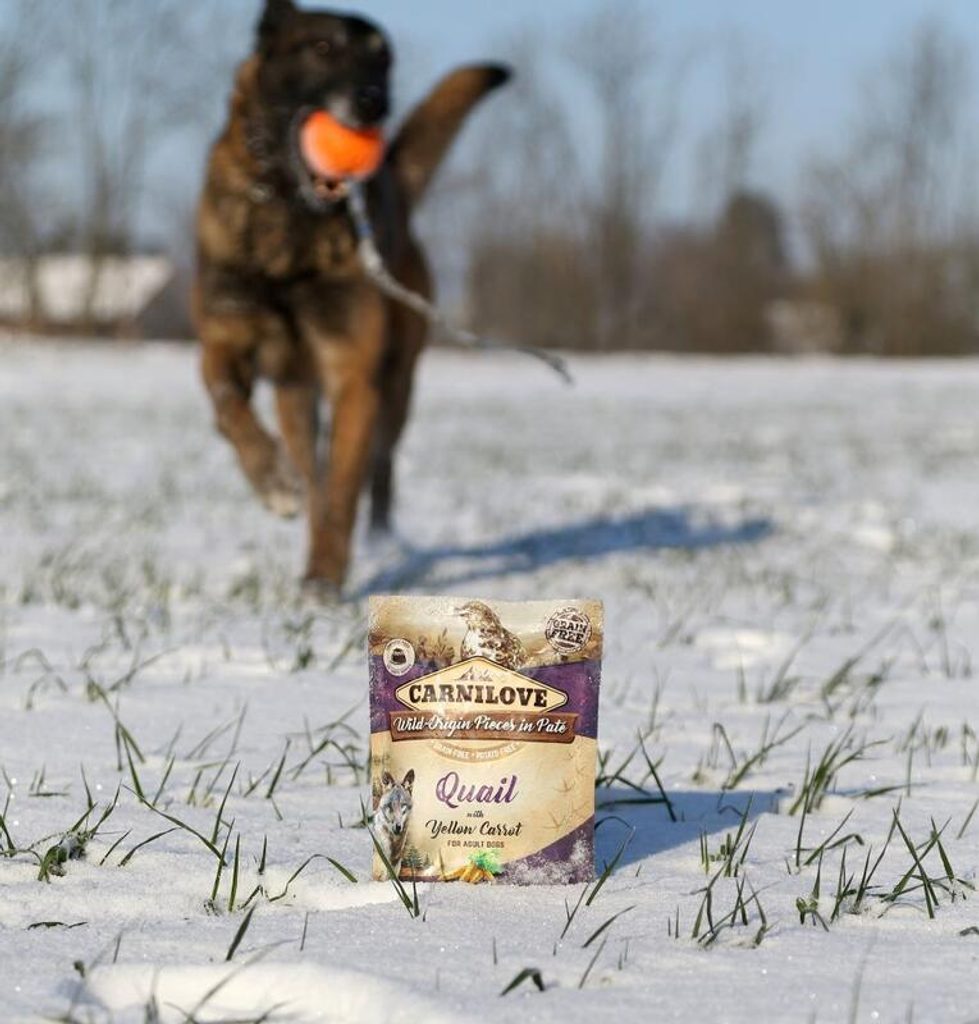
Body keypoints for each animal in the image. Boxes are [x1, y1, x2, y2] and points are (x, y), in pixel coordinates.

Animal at [194, 0, 509, 595]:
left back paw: (376, 537)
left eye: (383, 61)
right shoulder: (225, 341)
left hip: (396, 385)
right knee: (309, 462)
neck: (289, 216)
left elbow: (342, 487)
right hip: (296, 395)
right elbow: (228, 408)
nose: (374, 102)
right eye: (321, 48)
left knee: (376, 466)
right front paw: (273, 482)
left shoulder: (353, 374)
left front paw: (325, 576)